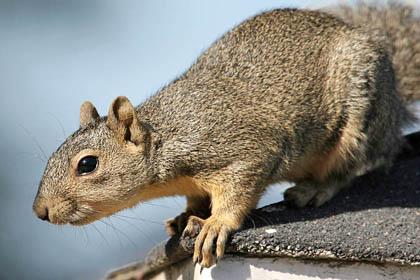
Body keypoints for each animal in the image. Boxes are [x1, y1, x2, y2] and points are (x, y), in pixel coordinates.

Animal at [32, 2, 420, 270]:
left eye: (87, 164)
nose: (40, 211)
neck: (167, 138)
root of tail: (396, 105)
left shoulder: (243, 151)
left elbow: (238, 192)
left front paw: (215, 224)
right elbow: (194, 200)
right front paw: (185, 217)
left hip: (360, 115)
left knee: (350, 168)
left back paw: (314, 188)